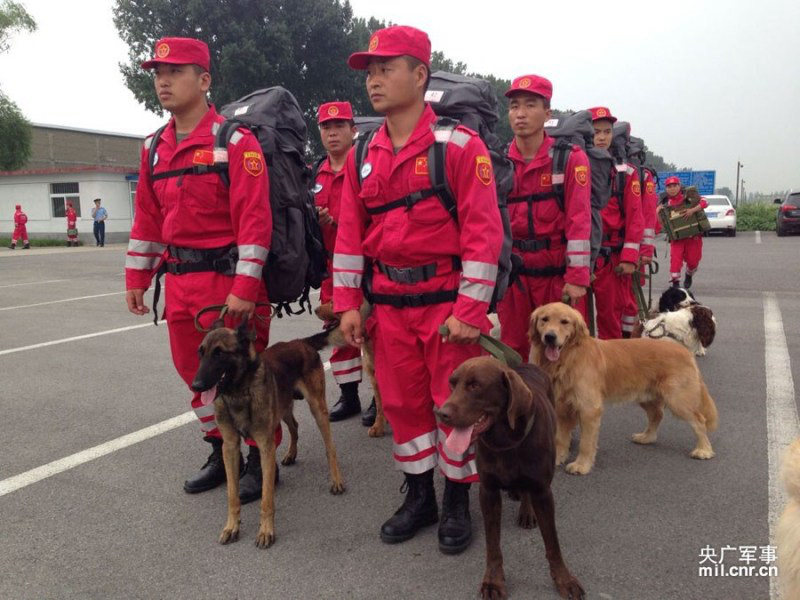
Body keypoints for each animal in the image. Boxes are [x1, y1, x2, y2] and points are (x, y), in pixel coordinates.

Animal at [194, 318, 346, 548]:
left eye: (219, 353)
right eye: (201, 353)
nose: (196, 385)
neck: (238, 392)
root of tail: (301, 342)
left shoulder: (265, 447)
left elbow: (266, 497)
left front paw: (266, 530)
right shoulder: (229, 448)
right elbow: (232, 495)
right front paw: (231, 526)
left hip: (318, 409)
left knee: (331, 447)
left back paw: (336, 480)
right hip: (283, 408)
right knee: (294, 426)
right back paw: (291, 454)